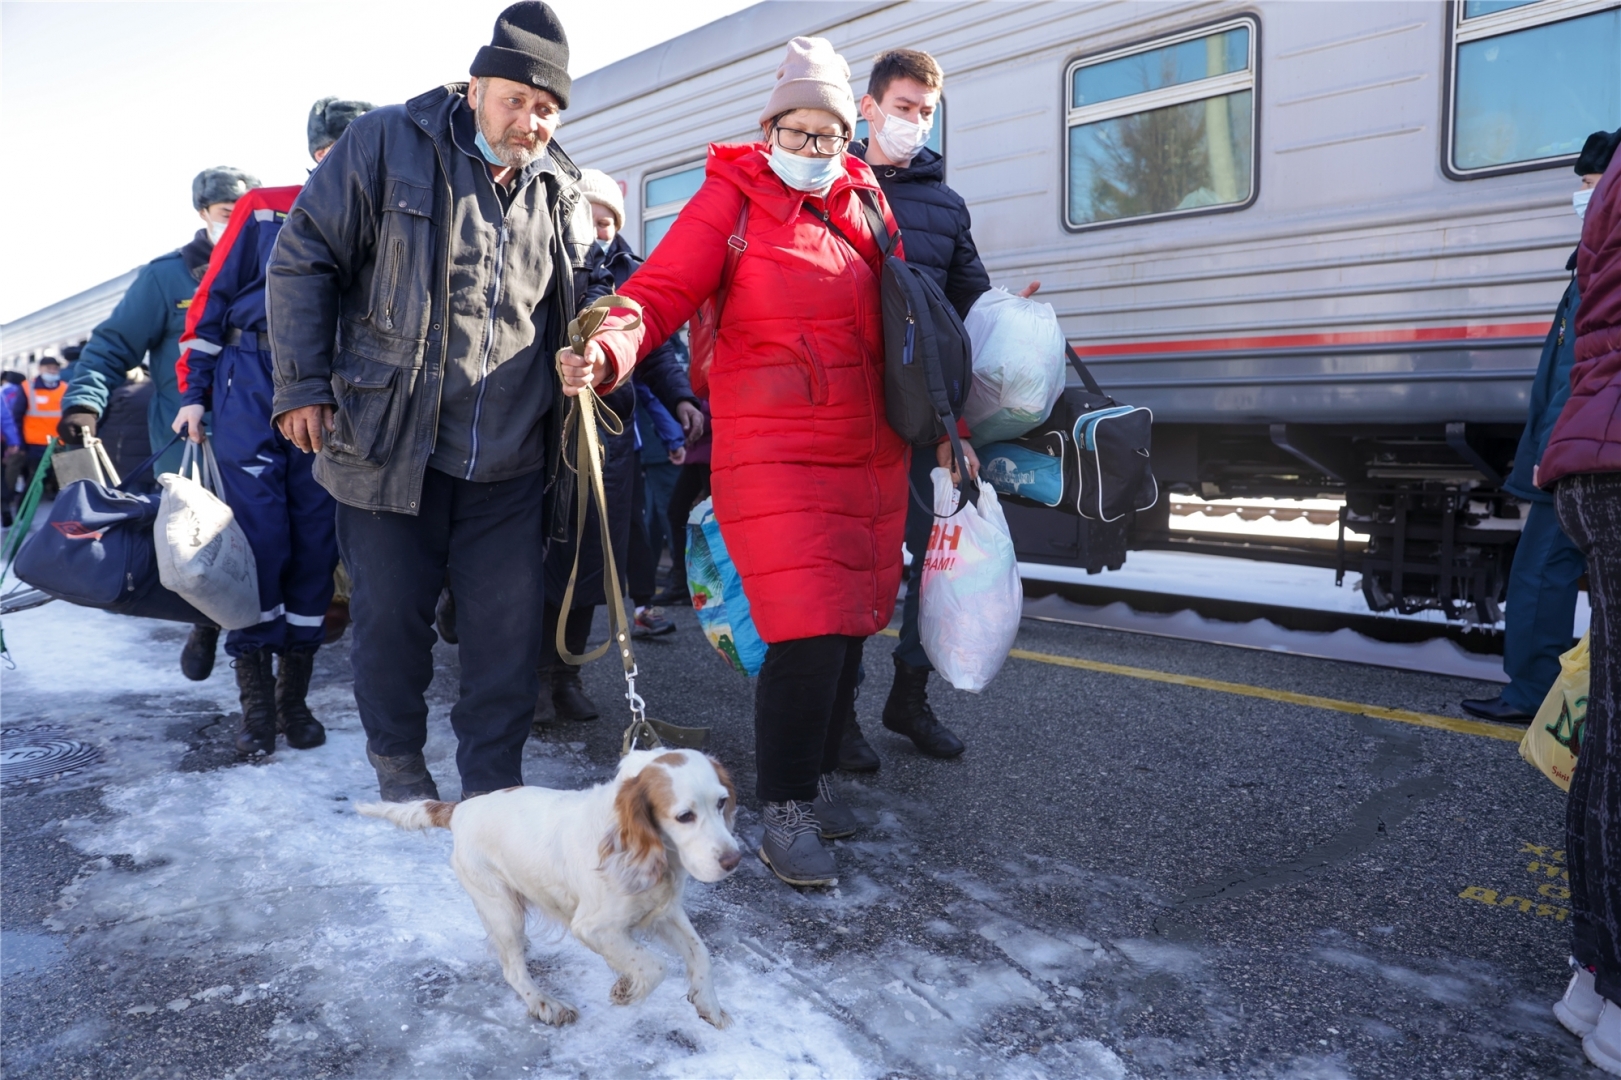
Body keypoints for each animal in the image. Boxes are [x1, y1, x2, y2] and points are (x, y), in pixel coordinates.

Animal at [359, 745, 742, 1024]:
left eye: (722, 802)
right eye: (684, 816)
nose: (733, 860)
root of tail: (460, 810)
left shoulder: (663, 912)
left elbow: (700, 953)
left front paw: (709, 1004)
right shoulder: (593, 927)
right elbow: (655, 965)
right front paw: (627, 991)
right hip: (502, 908)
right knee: (513, 969)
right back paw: (546, 1003)